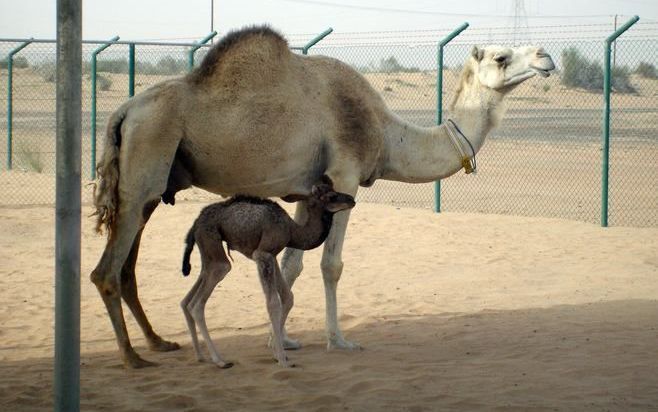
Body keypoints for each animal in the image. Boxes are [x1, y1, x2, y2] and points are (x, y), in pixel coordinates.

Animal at [178, 177, 354, 366]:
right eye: (331, 196)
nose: (351, 199)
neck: (292, 231)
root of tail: (196, 223)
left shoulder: (273, 255)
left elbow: (288, 297)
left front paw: (278, 353)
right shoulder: (263, 254)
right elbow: (273, 303)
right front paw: (282, 360)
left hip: (208, 251)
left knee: (188, 298)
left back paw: (200, 355)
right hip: (213, 246)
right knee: (199, 301)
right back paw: (219, 360)